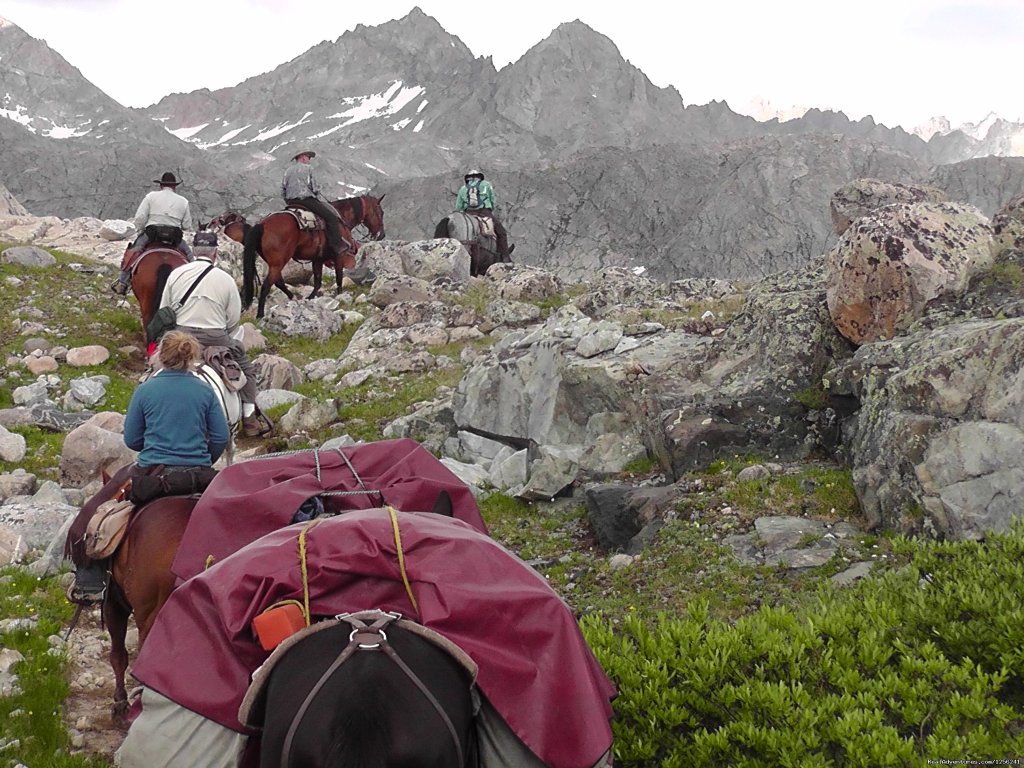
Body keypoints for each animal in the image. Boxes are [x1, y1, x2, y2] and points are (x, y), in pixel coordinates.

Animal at [205, 208, 358, 319]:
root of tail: (262, 225)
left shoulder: (317, 260)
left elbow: (318, 281)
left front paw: (311, 297)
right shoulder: (339, 256)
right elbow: (338, 276)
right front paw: (339, 294)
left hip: (275, 263)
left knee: (277, 281)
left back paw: (291, 297)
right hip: (279, 262)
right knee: (267, 285)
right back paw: (260, 314)